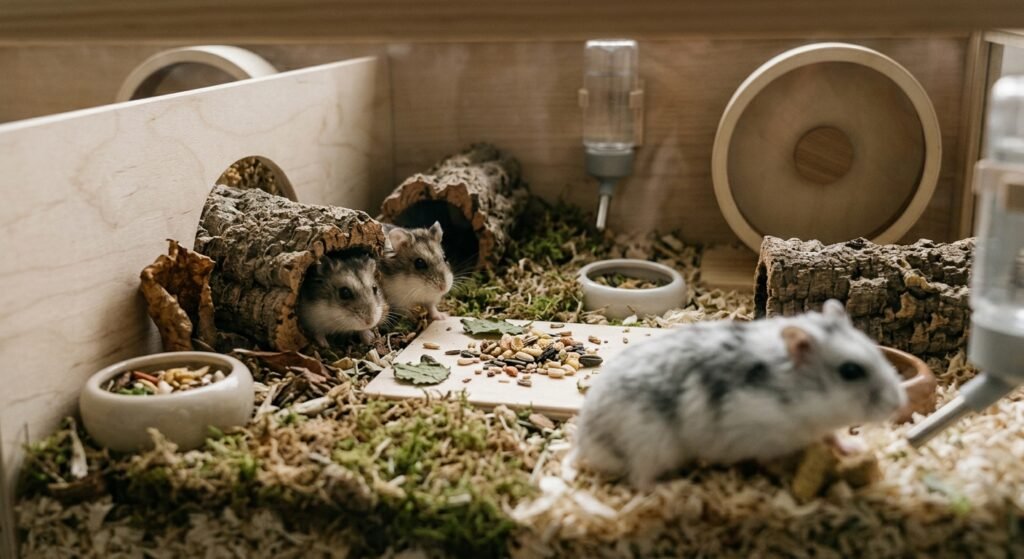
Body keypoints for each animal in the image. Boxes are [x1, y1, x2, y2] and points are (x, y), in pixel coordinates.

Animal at [573, 299, 907, 490]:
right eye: (850, 371)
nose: (899, 404)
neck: (796, 396)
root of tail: (587, 443)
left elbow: (832, 437)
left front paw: (855, 446)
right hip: (650, 445)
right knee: (640, 480)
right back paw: (671, 490)